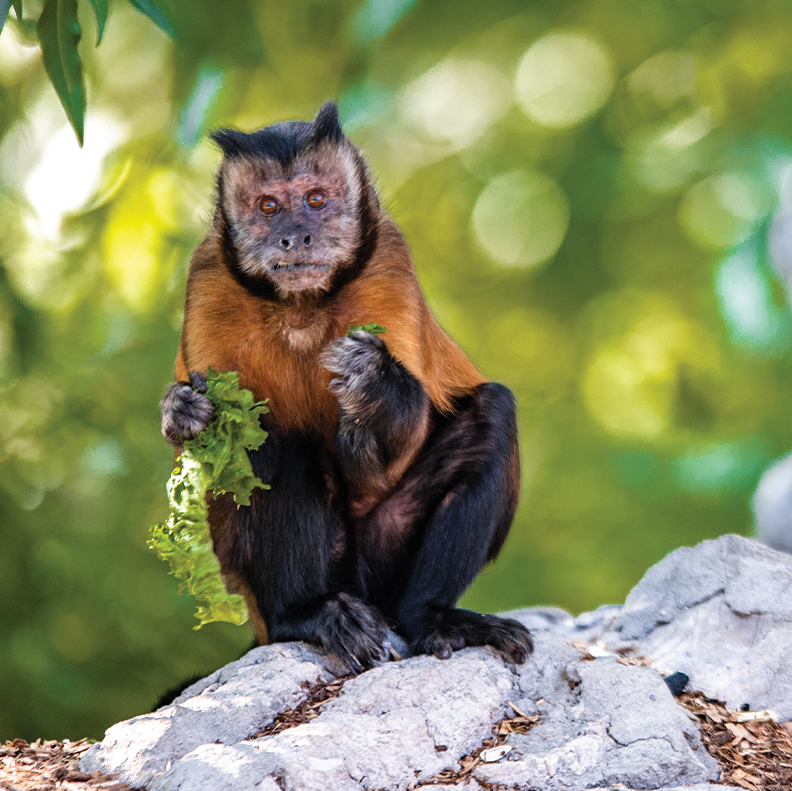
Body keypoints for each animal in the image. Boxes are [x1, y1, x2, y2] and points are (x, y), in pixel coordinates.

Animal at [160, 100, 532, 676]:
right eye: (269, 206)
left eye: (316, 200)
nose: (294, 235)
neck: (301, 306)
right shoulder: (207, 282)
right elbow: (218, 453)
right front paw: (183, 412)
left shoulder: (388, 264)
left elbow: (400, 441)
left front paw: (372, 381)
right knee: (271, 438)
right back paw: (307, 614)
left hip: (382, 566)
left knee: (492, 413)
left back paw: (431, 618)